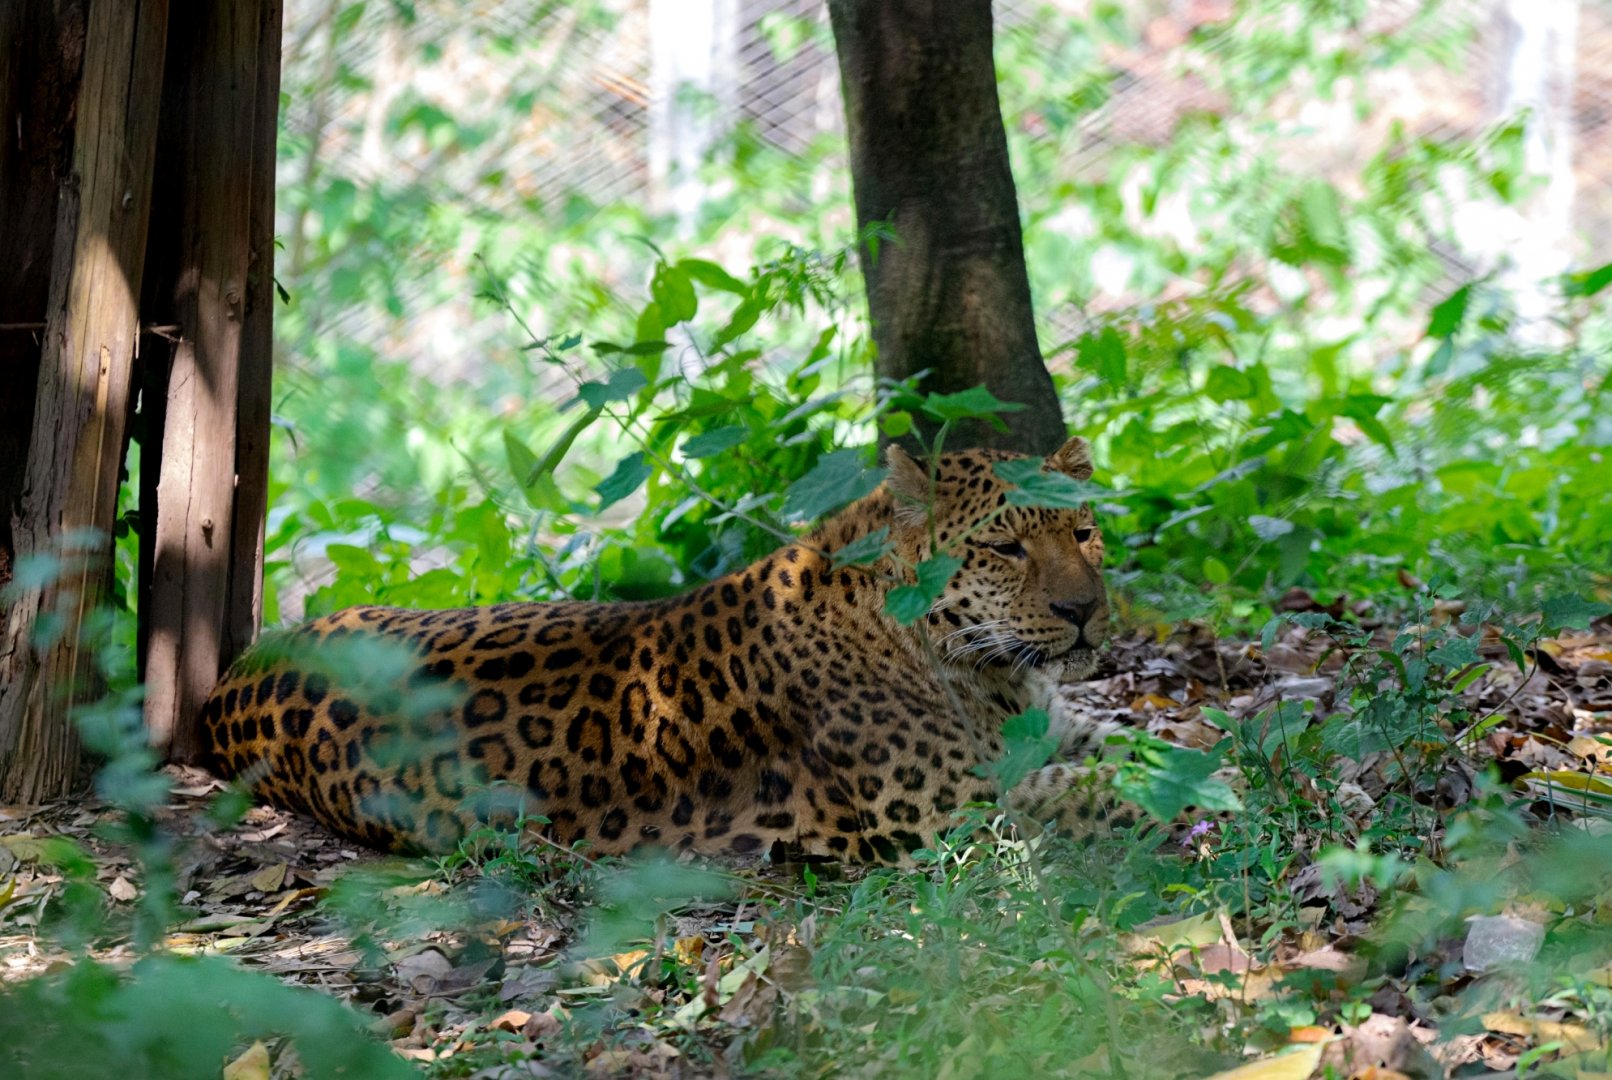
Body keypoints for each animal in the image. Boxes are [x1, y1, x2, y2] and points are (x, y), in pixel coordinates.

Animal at [200, 435, 1125, 865]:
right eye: (1004, 548)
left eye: (1084, 533)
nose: (1082, 611)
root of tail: (231, 680)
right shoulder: (947, 814)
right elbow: (1096, 793)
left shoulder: (1063, 730)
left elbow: (1136, 750)